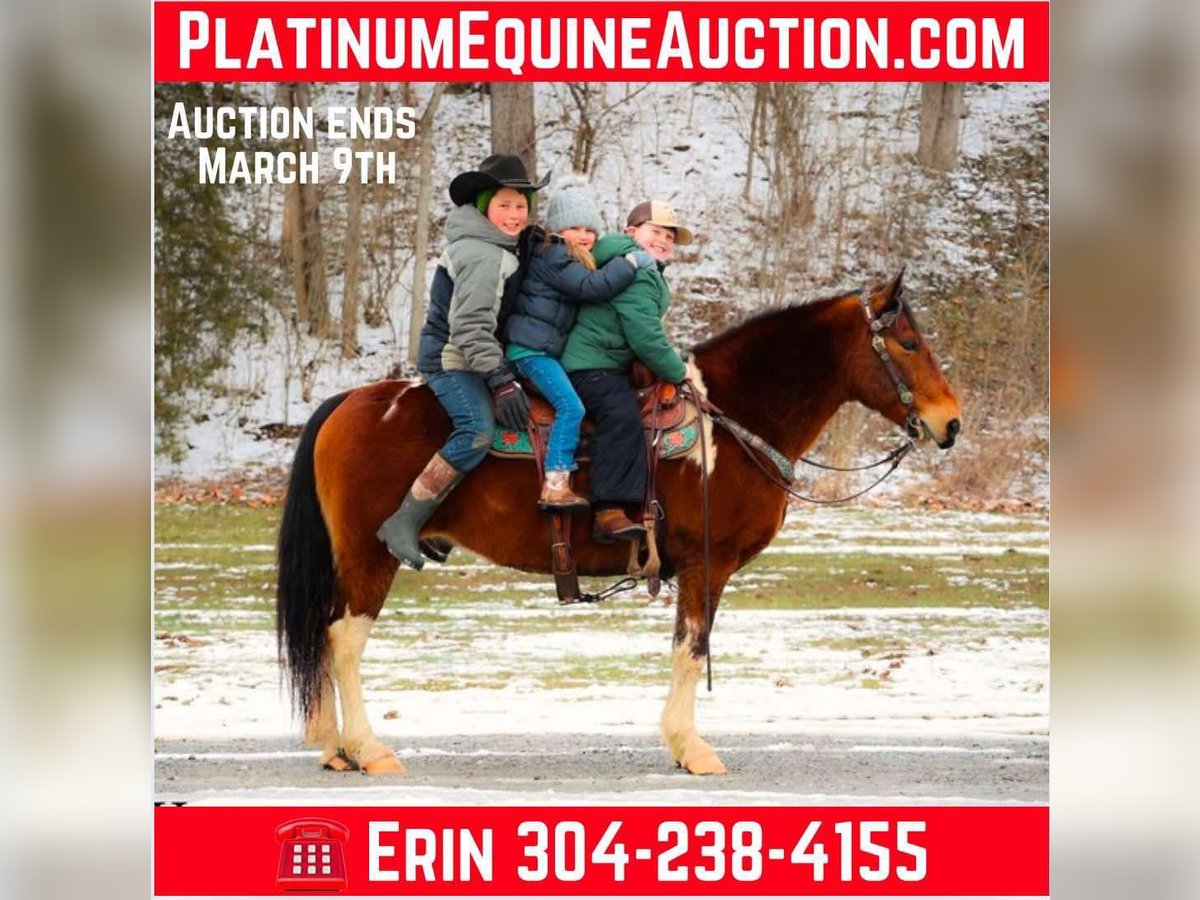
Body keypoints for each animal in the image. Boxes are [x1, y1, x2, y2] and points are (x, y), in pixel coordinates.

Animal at [276, 269, 961, 775]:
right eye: (908, 344)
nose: (950, 422)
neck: (731, 420)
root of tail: (350, 401)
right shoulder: (708, 565)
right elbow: (691, 649)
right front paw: (691, 749)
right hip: (371, 556)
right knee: (343, 641)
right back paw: (368, 748)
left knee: (324, 636)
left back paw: (335, 746)